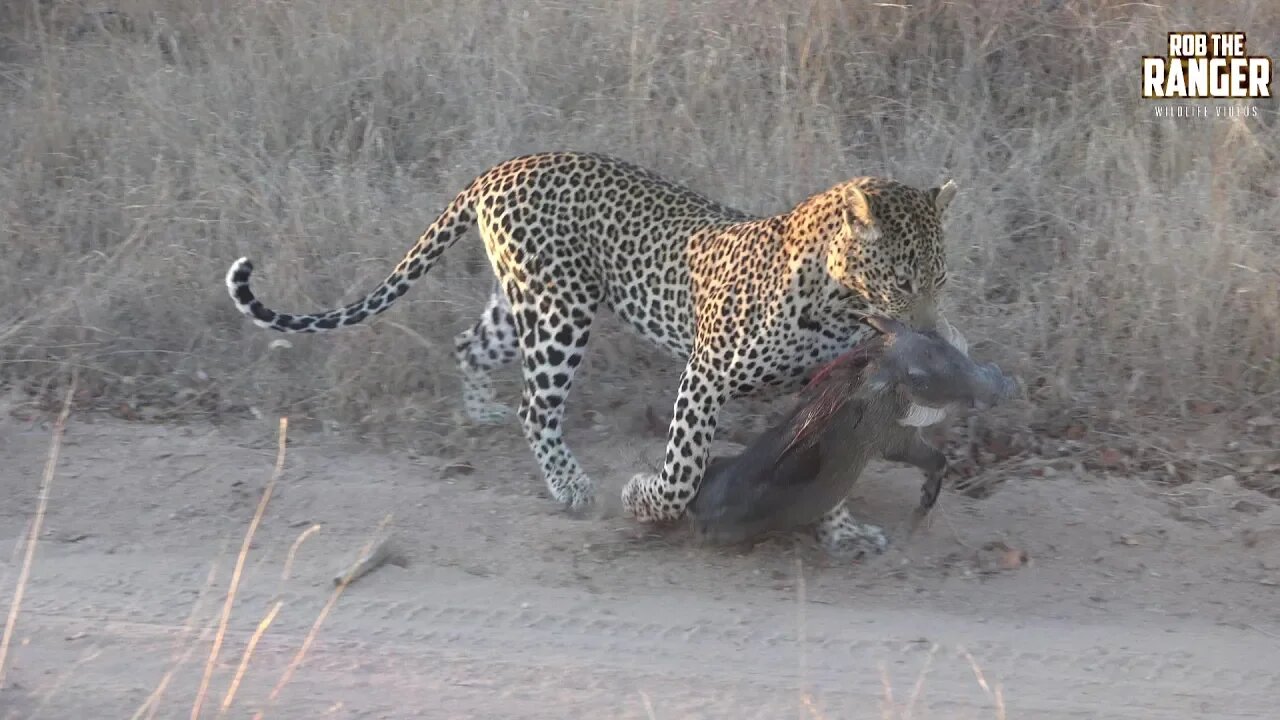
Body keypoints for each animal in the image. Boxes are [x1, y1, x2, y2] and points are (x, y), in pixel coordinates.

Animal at [225, 149, 957, 556]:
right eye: (901, 280)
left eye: (942, 278)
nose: (932, 339)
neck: (833, 301)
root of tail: (502, 168)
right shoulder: (706, 375)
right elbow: (685, 468)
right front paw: (645, 500)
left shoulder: (823, 388)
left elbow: (828, 461)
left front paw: (842, 531)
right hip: (559, 315)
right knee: (536, 406)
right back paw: (569, 484)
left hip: (525, 303)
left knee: (469, 343)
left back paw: (480, 412)